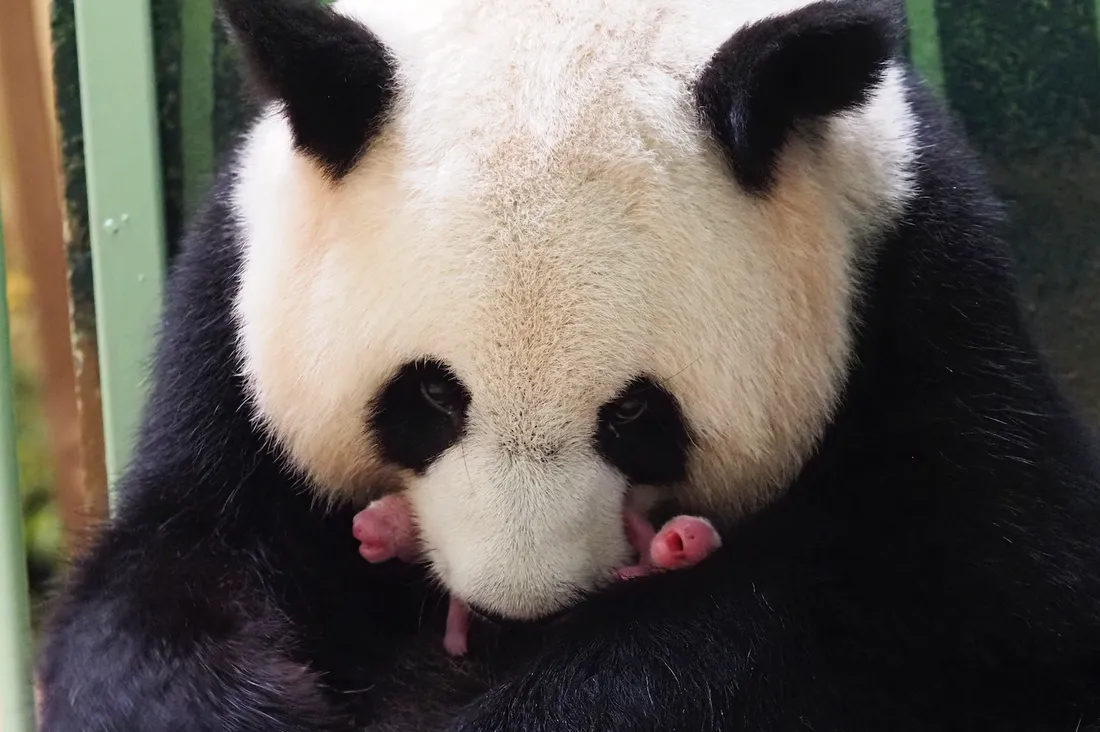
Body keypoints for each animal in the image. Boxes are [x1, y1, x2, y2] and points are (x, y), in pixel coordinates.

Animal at [34, 0, 1100, 728]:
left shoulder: (923, 303)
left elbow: (970, 623)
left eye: (634, 414)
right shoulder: (234, 306)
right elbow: (161, 573)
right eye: (430, 395)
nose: (515, 607)